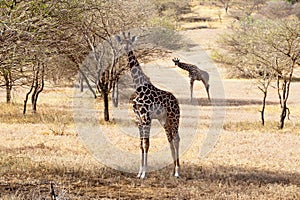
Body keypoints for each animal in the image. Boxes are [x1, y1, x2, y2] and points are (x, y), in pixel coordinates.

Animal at [116, 33, 179, 180]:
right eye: (121, 42)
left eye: (130, 43)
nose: (125, 49)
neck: (139, 87)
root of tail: (176, 101)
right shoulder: (139, 119)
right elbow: (140, 145)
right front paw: (139, 173)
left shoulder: (147, 118)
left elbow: (147, 144)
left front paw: (144, 174)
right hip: (164, 121)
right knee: (170, 139)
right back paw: (172, 171)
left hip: (174, 118)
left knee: (176, 139)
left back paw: (178, 171)